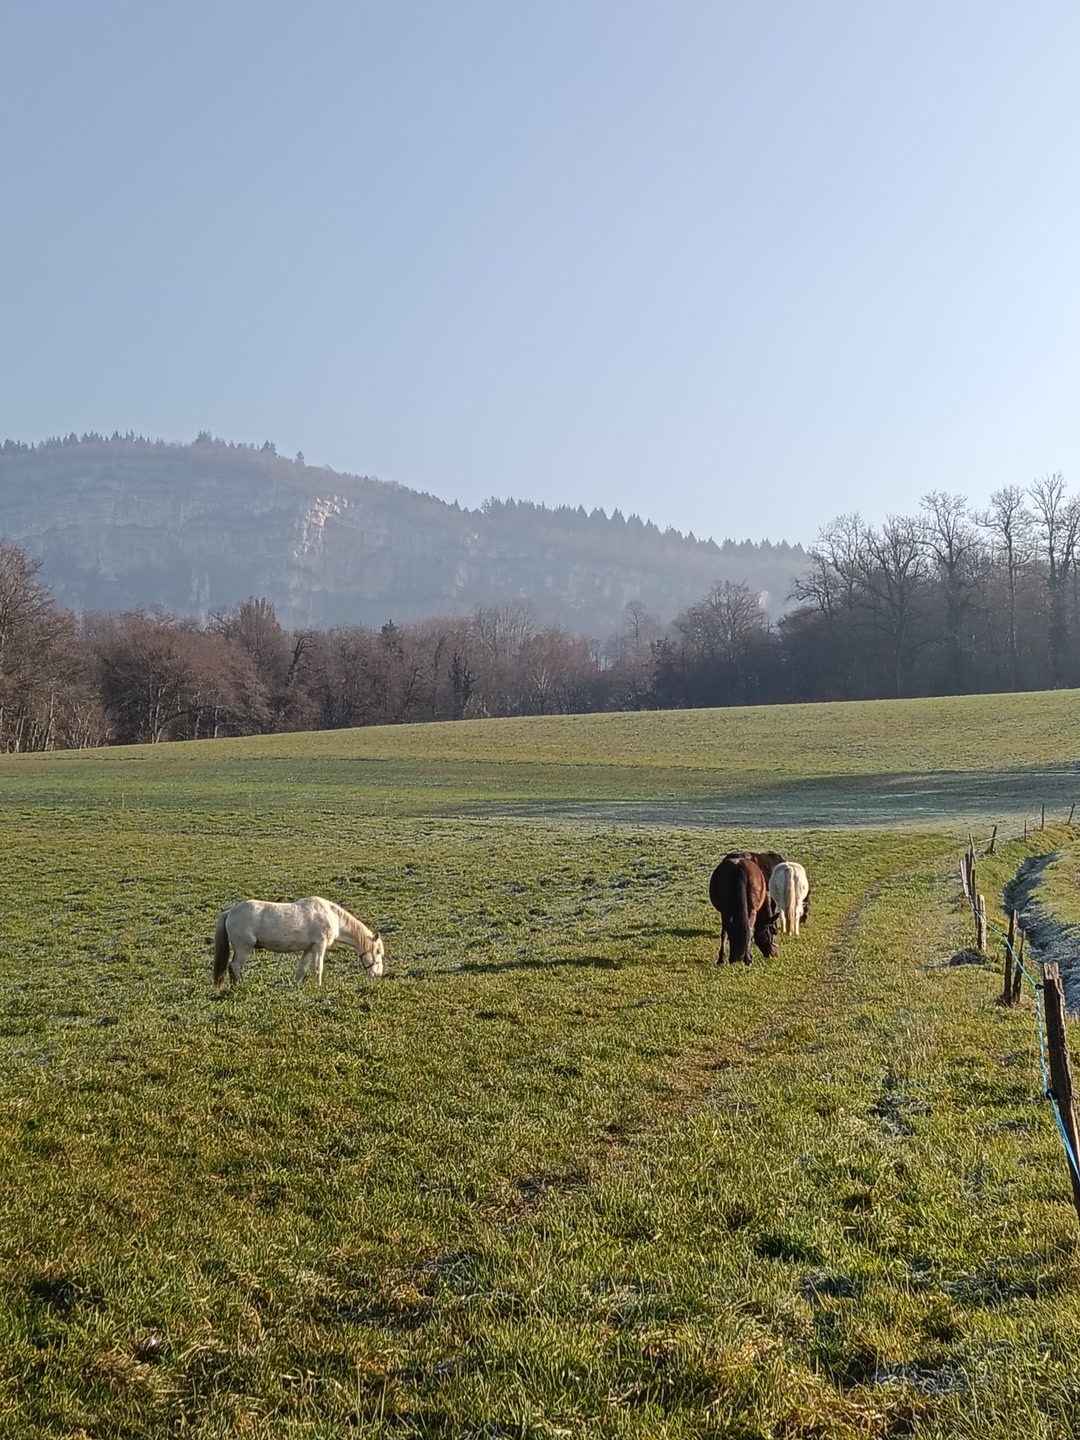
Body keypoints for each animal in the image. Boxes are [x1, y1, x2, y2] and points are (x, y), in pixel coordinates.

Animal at [213, 896, 385, 988]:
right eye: (378, 951)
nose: (377, 974)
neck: (332, 916)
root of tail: (230, 912)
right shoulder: (319, 946)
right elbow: (318, 968)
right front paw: (318, 987)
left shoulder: (309, 948)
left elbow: (301, 970)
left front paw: (296, 987)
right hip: (244, 949)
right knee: (234, 966)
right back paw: (239, 986)